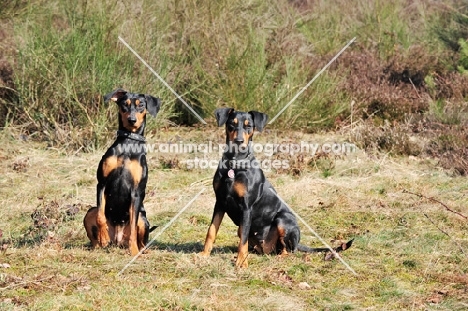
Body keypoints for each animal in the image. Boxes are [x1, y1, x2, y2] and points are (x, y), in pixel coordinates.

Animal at [81, 88, 160, 256]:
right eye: (125, 104)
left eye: (141, 105)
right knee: (95, 233)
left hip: (144, 219)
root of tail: (117, 240)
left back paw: (141, 250)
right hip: (89, 212)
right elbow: (100, 217)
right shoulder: (102, 183)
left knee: (141, 239)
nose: (132, 120)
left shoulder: (137, 192)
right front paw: (103, 236)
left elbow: (133, 227)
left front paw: (133, 251)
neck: (128, 144)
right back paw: (99, 244)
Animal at [199, 108, 352, 268]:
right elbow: (211, 231)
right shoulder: (220, 202)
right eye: (231, 124)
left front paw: (241, 263)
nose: (239, 141)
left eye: (249, 126)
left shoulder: (246, 208)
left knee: (289, 250)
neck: (234, 164)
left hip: (283, 219)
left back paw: (279, 257)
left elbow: (243, 241)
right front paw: (204, 255)